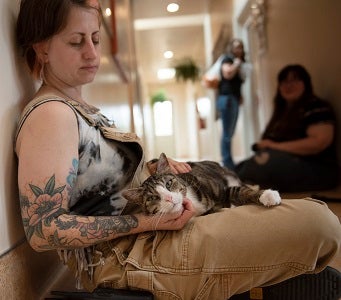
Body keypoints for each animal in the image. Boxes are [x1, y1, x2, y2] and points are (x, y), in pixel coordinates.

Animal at [121, 152, 280, 216]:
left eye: (168, 183)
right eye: (153, 198)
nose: (169, 198)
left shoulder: (221, 188)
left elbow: (239, 191)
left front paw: (268, 195)